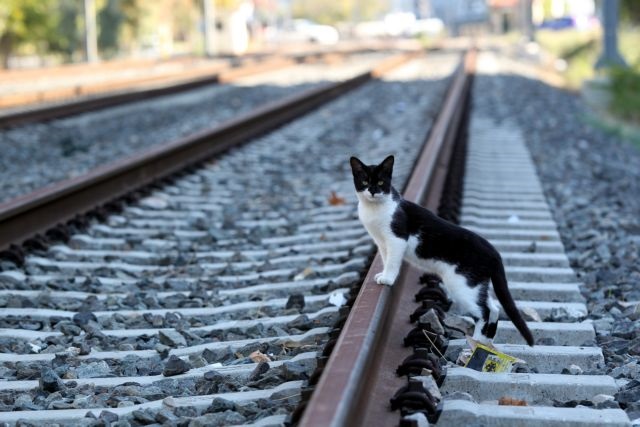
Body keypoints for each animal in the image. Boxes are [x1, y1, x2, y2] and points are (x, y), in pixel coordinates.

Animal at [350, 155, 536, 346]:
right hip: (476, 284)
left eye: (380, 182)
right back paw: (485, 341)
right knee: (494, 307)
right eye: (365, 181)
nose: (373, 191)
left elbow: (392, 261)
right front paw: (382, 274)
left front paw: (387, 279)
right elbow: (385, 258)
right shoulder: (381, 242)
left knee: (483, 312)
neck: (374, 210)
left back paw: (475, 341)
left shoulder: (396, 239)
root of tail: (494, 252)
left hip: (462, 284)